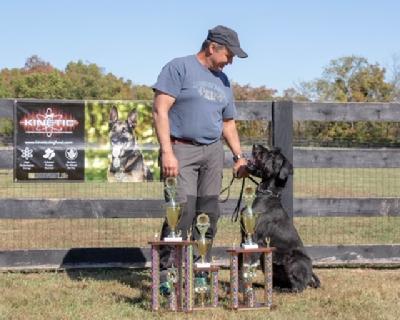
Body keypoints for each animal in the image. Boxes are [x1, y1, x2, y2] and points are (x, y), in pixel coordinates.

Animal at [242, 145, 320, 292]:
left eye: (272, 155)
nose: (256, 145)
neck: (267, 195)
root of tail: (311, 273)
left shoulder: (256, 239)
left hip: (292, 259)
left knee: (299, 287)